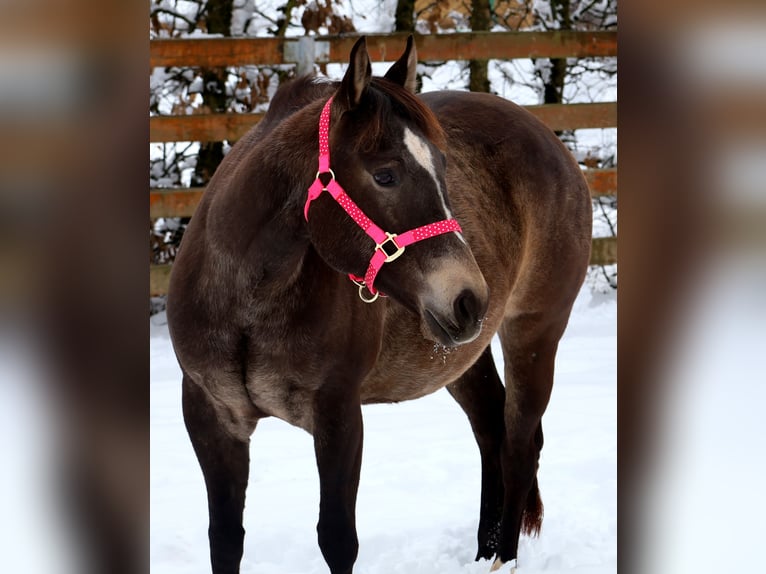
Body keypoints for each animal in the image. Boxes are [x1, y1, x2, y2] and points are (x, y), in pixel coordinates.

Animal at [166, 35, 592, 574]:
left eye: (444, 169)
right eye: (385, 175)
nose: (469, 297)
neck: (248, 303)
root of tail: (551, 140)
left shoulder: (339, 414)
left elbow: (336, 538)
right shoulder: (211, 416)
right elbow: (225, 538)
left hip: (534, 331)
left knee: (519, 444)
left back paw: (502, 559)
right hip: (460, 355)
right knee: (491, 431)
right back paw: (482, 552)